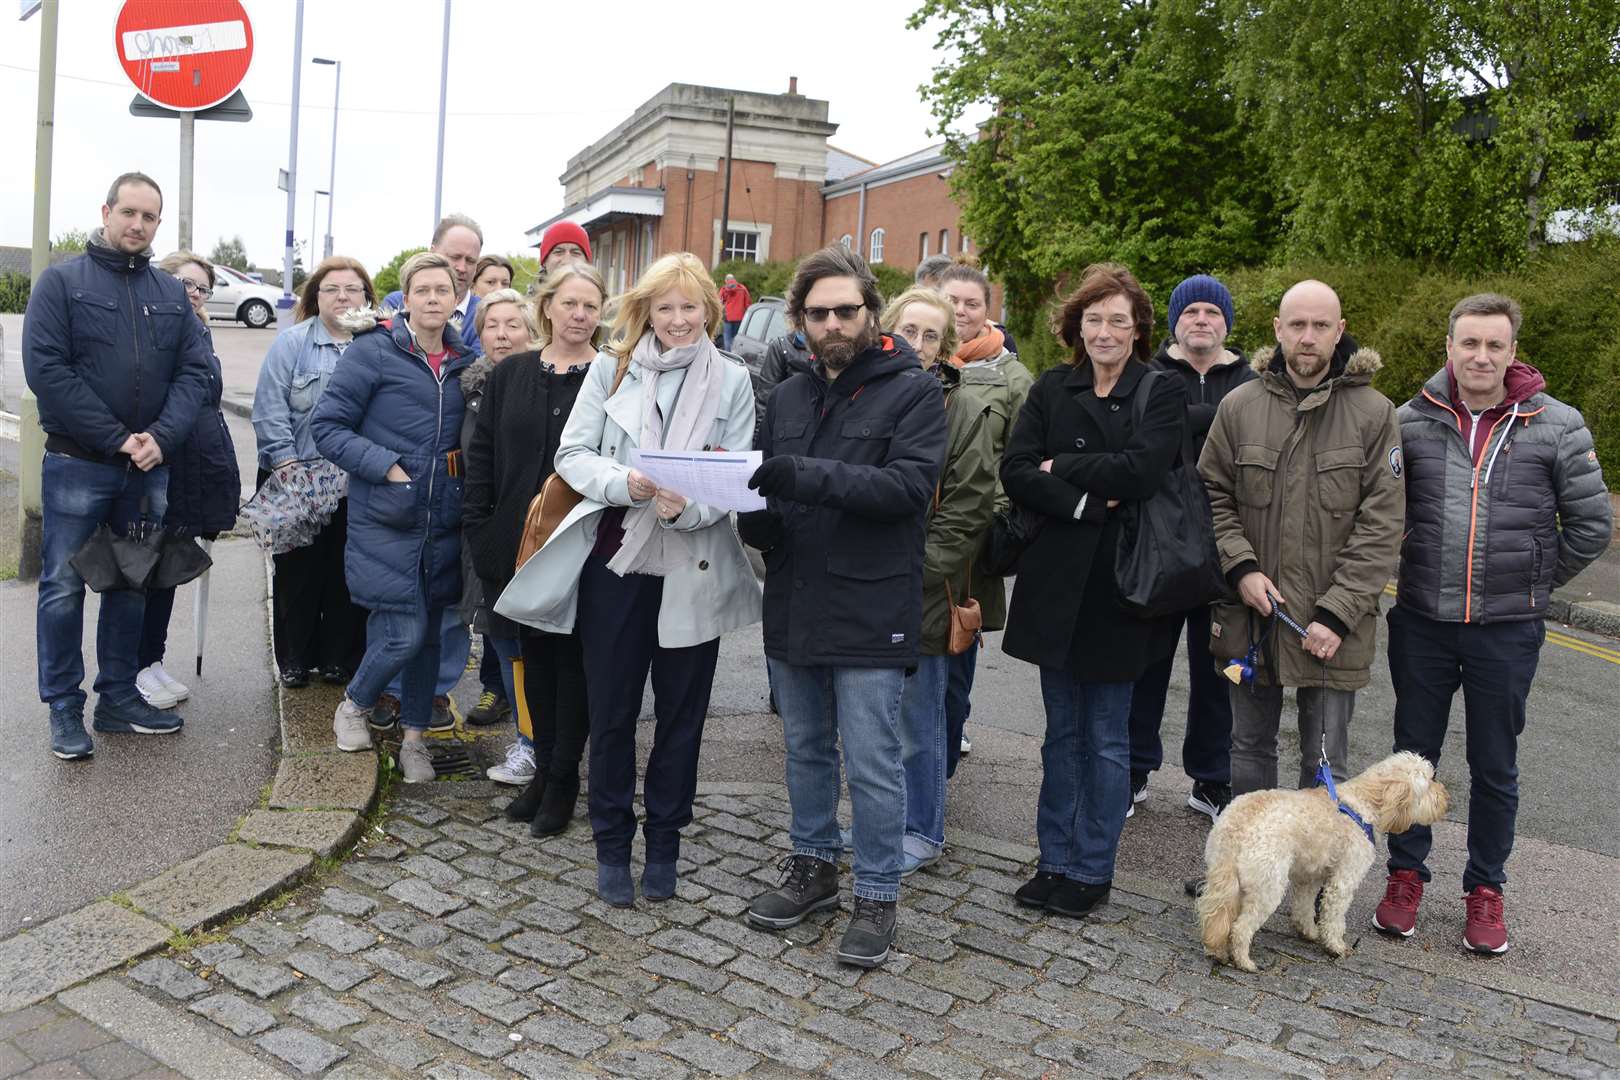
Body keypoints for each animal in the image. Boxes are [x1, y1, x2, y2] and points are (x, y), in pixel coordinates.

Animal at [1198, 751, 1451, 971]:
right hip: (1268, 887)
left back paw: (1218, 952)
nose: (1446, 798)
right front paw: (1336, 947)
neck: (1365, 801)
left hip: (1226, 877)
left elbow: (1304, 908)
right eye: (1428, 784)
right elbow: (1334, 918)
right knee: (1240, 928)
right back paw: (1244, 962)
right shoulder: (1343, 881)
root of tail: (1237, 827)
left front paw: (1309, 932)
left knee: (1215, 917)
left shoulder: (1308, 878)